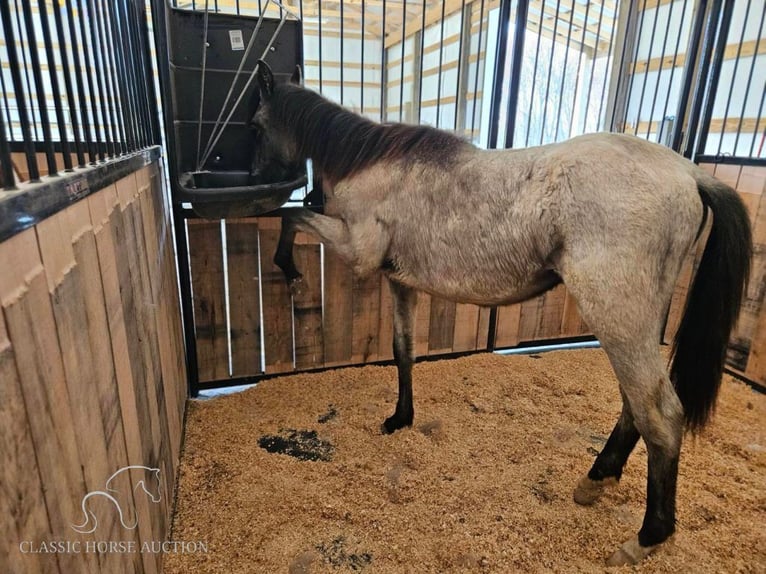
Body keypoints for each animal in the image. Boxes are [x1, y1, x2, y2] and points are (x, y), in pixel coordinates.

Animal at [249, 59, 752, 568]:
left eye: (256, 125)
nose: (260, 182)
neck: (370, 161)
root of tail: (690, 174)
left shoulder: (357, 251)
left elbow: (291, 219)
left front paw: (289, 270)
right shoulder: (399, 280)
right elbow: (403, 351)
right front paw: (400, 419)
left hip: (618, 319)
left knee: (659, 414)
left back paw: (646, 537)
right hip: (632, 326)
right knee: (635, 403)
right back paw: (597, 479)